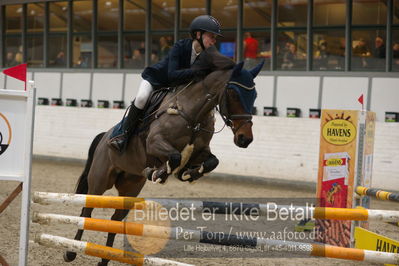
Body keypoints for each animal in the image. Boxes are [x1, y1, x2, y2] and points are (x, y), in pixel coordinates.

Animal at [65, 48, 266, 266]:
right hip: (100, 181)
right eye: (233, 93)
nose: (245, 138)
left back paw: (104, 259)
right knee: (87, 212)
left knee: (115, 220)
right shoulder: (154, 143)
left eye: (254, 95)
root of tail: (104, 137)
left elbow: (211, 161)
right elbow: (175, 156)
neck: (193, 113)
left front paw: (188, 174)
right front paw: (160, 173)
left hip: (131, 187)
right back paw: (71, 252)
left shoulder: (200, 151)